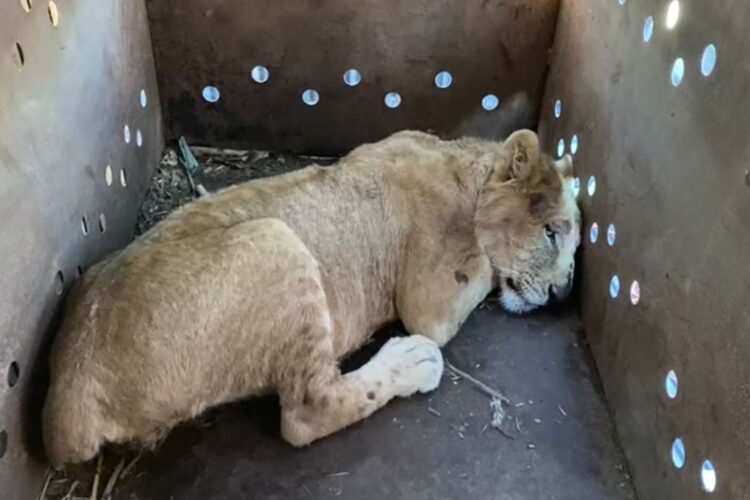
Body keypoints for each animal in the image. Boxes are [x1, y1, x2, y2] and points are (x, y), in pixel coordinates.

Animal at [42, 129, 581, 467]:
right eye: (552, 232)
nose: (561, 294)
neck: (464, 164)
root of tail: (70, 388)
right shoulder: (431, 300)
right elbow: (486, 267)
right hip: (275, 241)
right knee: (307, 413)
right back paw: (412, 360)